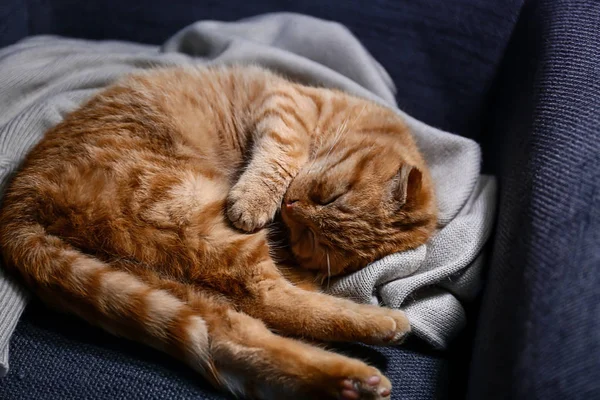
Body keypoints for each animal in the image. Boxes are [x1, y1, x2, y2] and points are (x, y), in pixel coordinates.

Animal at [0, 65, 436, 400]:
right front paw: (256, 199)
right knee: (263, 302)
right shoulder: (289, 104)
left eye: (312, 239)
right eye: (330, 196)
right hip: (196, 221)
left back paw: (356, 373)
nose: (291, 207)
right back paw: (376, 337)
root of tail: (18, 204)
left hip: (160, 272)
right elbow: (282, 152)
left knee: (235, 330)